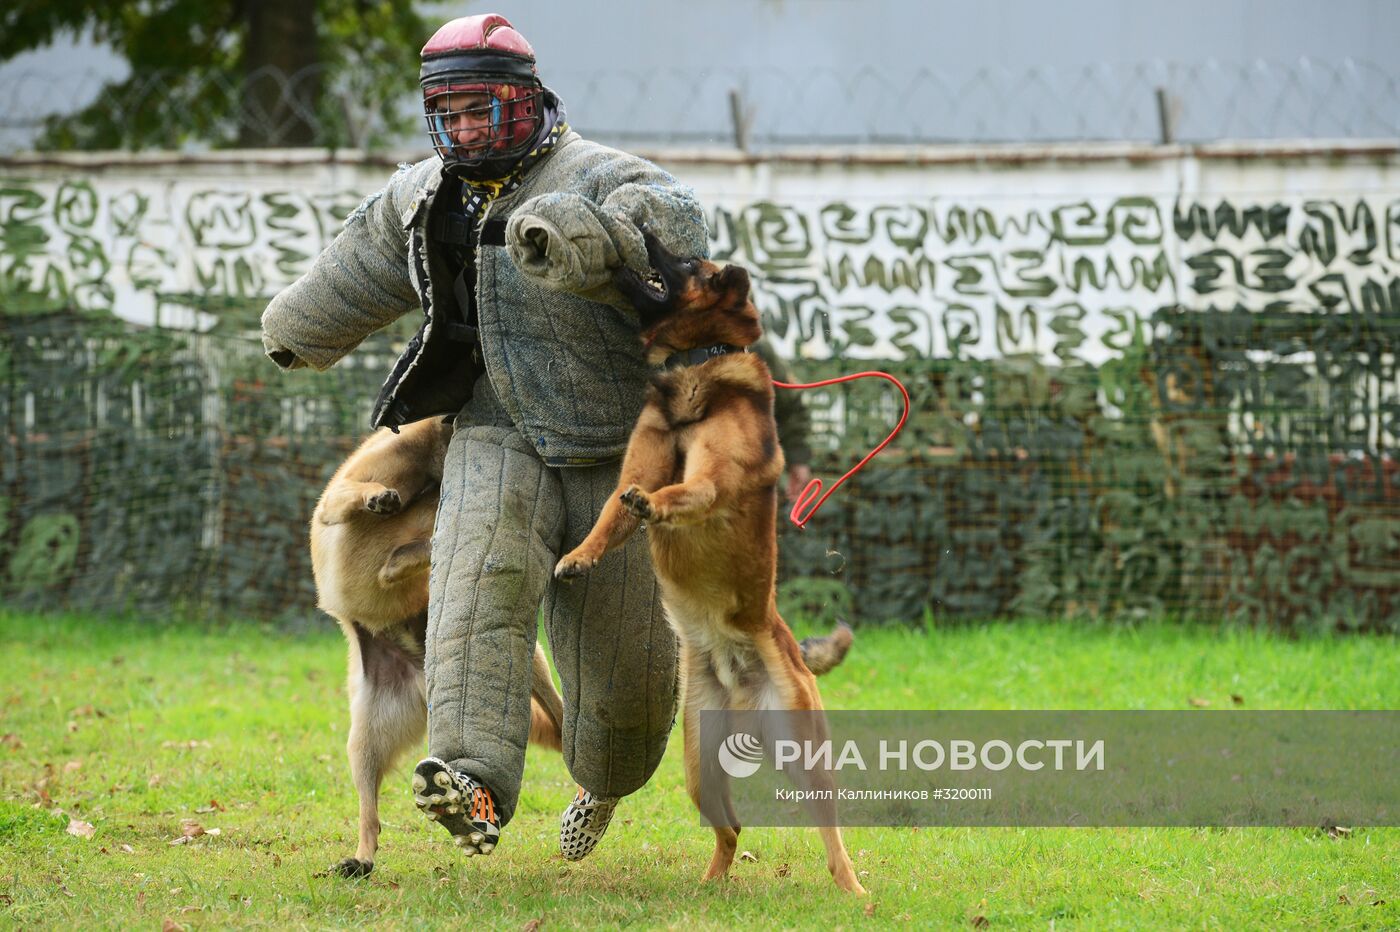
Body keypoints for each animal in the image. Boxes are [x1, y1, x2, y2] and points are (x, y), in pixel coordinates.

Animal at [312, 417, 562, 873]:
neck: (427, 471)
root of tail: (421, 673)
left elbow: (414, 548)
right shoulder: (336, 498)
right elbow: (355, 499)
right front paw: (377, 498)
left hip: (530, 662)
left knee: (555, 706)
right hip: (364, 742)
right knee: (370, 815)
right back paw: (362, 857)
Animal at [554, 232, 862, 895]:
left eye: (689, 263)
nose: (642, 235)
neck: (698, 361)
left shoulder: (714, 479)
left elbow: (683, 492)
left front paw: (656, 505)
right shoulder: (636, 468)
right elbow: (610, 517)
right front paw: (578, 556)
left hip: (803, 750)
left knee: (831, 831)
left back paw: (853, 889)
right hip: (700, 760)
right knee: (731, 827)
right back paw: (711, 884)